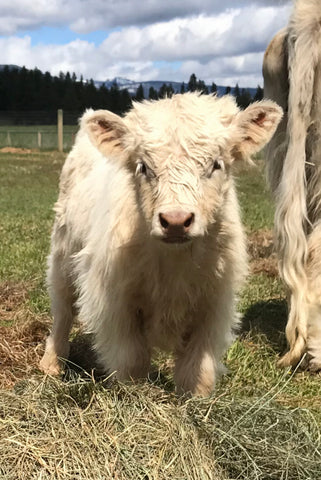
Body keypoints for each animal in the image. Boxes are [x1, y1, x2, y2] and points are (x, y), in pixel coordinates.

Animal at [39, 93, 280, 394]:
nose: (176, 221)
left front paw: (196, 400)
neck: (174, 262)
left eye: (216, 164)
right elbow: (131, 360)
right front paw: (134, 396)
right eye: (143, 167)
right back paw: (51, 364)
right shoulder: (115, 301)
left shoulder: (214, 303)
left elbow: (197, 368)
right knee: (63, 308)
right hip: (62, 251)